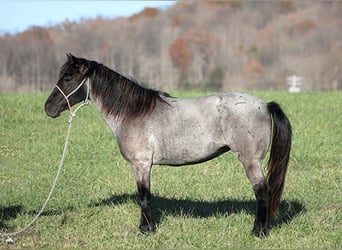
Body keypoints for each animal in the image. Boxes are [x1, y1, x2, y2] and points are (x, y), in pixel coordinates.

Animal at [44, 53, 292, 237]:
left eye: (68, 78)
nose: (48, 108)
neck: (132, 113)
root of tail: (265, 104)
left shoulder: (141, 164)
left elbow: (144, 196)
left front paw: (146, 230)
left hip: (250, 161)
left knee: (262, 191)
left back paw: (258, 232)